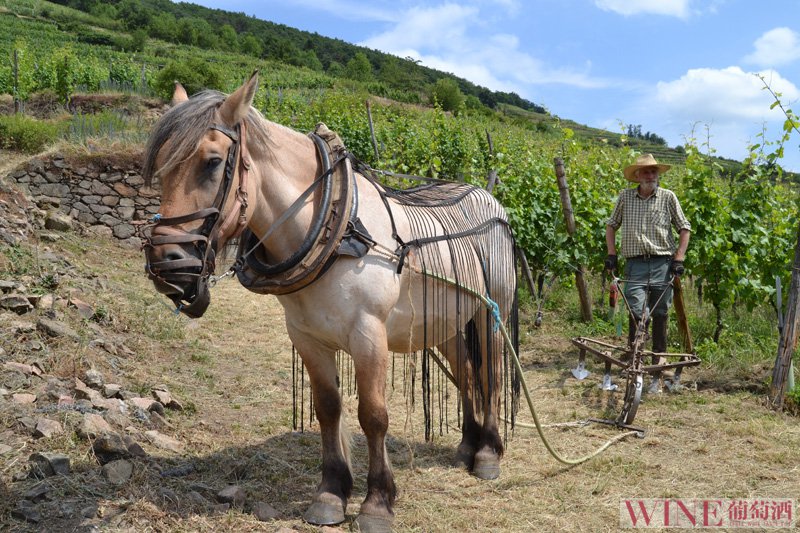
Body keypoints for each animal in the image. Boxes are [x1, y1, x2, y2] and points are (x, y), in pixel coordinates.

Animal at [142, 71, 520, 532]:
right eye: (160, 165)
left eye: (212, 162)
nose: (166, 264)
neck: (337, 228)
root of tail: (491, 200)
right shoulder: (307, 337)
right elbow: (328, 409)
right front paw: (331, 493)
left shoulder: (369, 335)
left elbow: (373, 415)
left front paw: (377, 502)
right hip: (446, 323)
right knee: (466, 374)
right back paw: (467, 445)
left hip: (489, 316)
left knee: (492, 378)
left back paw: (487, 454)